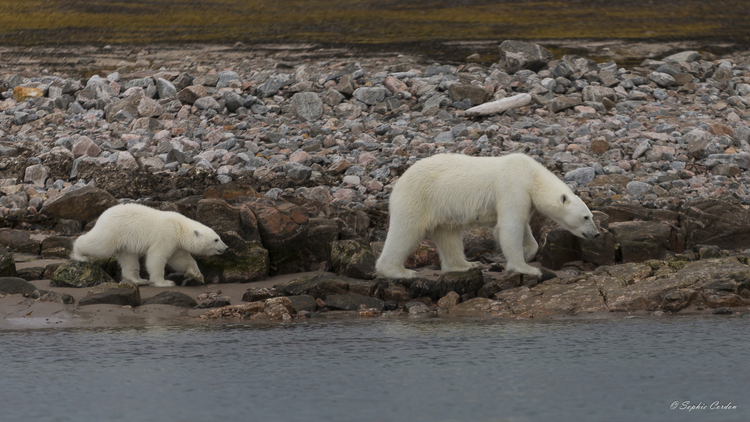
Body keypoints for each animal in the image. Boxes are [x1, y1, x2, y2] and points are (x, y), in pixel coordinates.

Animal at [72, 204, 228, 286]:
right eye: (216, 239)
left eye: (219, 237)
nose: (226, 248)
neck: (179, 227)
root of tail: (103, 215)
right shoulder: (166, 236)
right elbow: (157, 257)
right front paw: (164, 282)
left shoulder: (176, 245)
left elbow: (181, 259)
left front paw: (197, 275)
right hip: (113, 230)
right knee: (99, 245)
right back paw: (79, 254)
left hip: (125, 241)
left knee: (129, 259)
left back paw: (138, 280)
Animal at [378, 153, 604, 278]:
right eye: (586, 217)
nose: (596, 234)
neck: (532, 176)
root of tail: (399, 181)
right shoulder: (513, 186)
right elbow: (510, 226)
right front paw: (526, 268)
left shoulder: (525, 198)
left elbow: (524, 227)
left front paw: (527, 253)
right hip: (419, 197)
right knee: (406, 232)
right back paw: (400, 272)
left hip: (442, 208)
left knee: (448, 235)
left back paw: (466, 265)